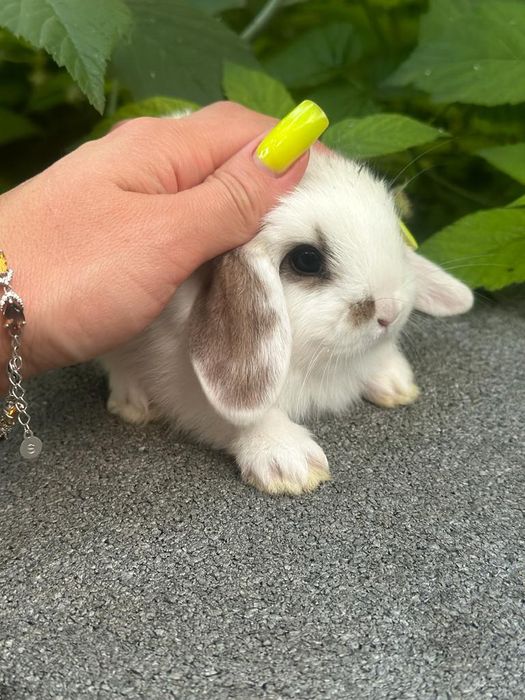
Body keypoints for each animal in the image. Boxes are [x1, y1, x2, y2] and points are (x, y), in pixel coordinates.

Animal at [101, 148, 473, 495]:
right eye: (306, 259)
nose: (390, 313)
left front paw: (393, 380)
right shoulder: (183, 380)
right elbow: (244, 414)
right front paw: (290, 462)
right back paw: (135, 401)